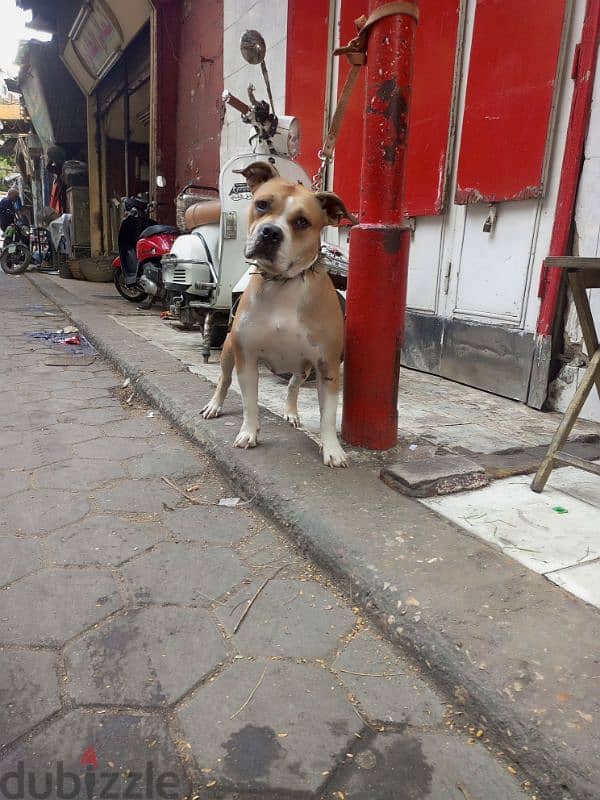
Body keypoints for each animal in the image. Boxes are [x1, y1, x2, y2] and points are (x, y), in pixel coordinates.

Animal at [202, 159, 356, 466]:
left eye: (302, 222)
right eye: (262, 204)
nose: (271, 232)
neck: (283, 283)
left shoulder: (327, 367)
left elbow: (328, 416)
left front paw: (332, 449)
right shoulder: (247, 358)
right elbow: (249, 404)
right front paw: (249, 433)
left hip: (304, 367)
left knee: (293, 385)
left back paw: (291, 412)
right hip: (228, 351)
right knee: (224, 380)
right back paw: (214, 405)